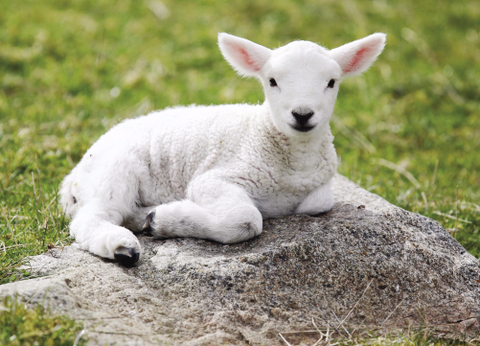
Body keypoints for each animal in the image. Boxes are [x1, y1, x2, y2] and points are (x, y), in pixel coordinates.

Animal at [59, 32, 386, 266]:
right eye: (272, 81)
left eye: (331, 82)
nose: (302, 114)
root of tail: (73, 177)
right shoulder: (215, 179)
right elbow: (246, 220)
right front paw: (166, 221)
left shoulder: (319, 189)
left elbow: (319, 203)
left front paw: (161, 218)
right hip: (114, 172)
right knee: (92, 217)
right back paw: (122, 247)